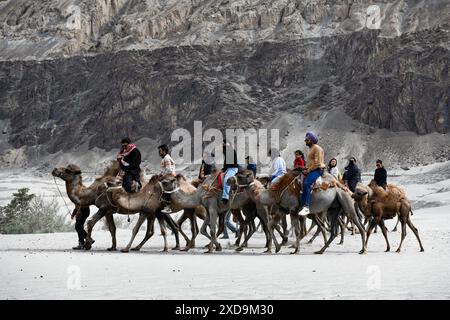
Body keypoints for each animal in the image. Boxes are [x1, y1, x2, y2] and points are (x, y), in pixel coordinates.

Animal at [230, 170, 368, 255]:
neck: (276, 192)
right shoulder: (282, 210)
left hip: (346, 204)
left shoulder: (293, 210)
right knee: (333, 230)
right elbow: (271, 225)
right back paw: (321, 250)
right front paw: (278, 247)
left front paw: (295, 250)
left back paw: (363, 249)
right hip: (333, 209)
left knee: (359, 225)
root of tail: (346, 188)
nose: (230, 181)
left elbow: (296, 230)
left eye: (240, 176)